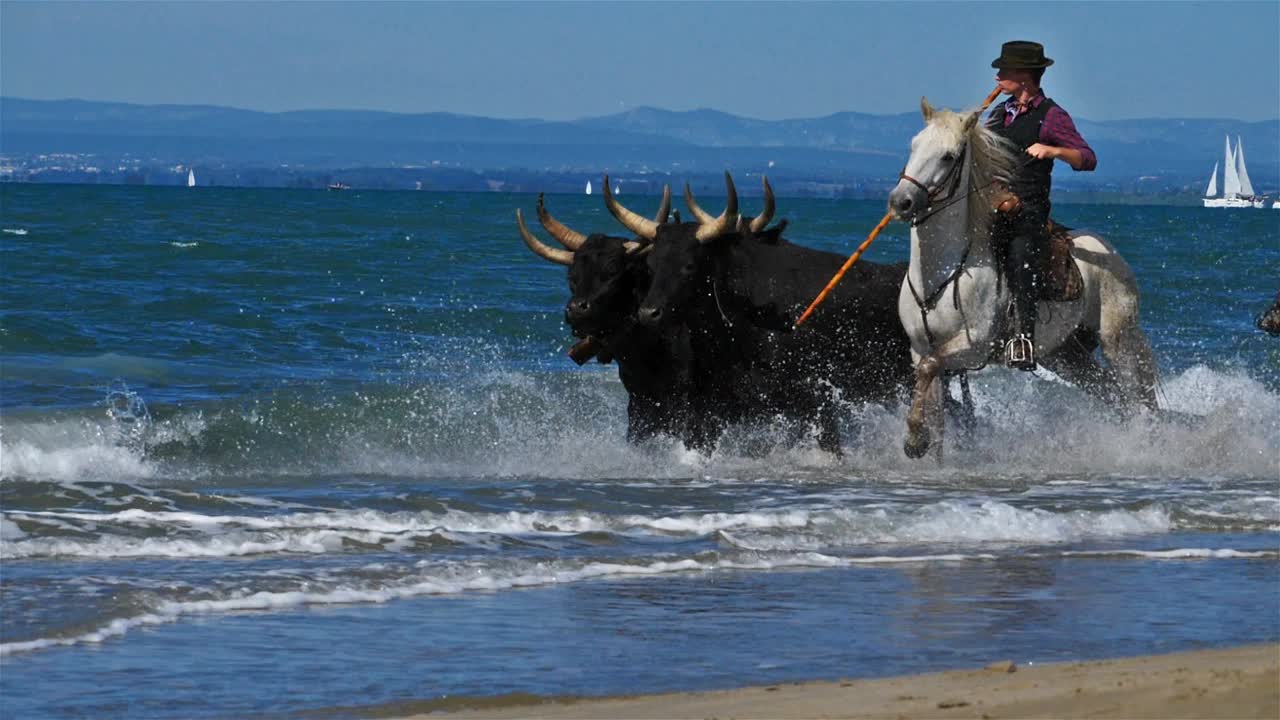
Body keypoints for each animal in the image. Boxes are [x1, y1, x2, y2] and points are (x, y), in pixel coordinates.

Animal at [890, 98, 1162, 456]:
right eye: (914, 145)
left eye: (948, 156)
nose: (901, 201)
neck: (943, 273)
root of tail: (1113, 255)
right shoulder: (920, 347)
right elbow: (934, 407)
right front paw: (924, 445)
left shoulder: (974, 345)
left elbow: (929, 369)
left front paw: (913, 439)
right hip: (1065, 355)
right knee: (1111, 392)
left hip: (1119, 340)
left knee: (1137, 397)